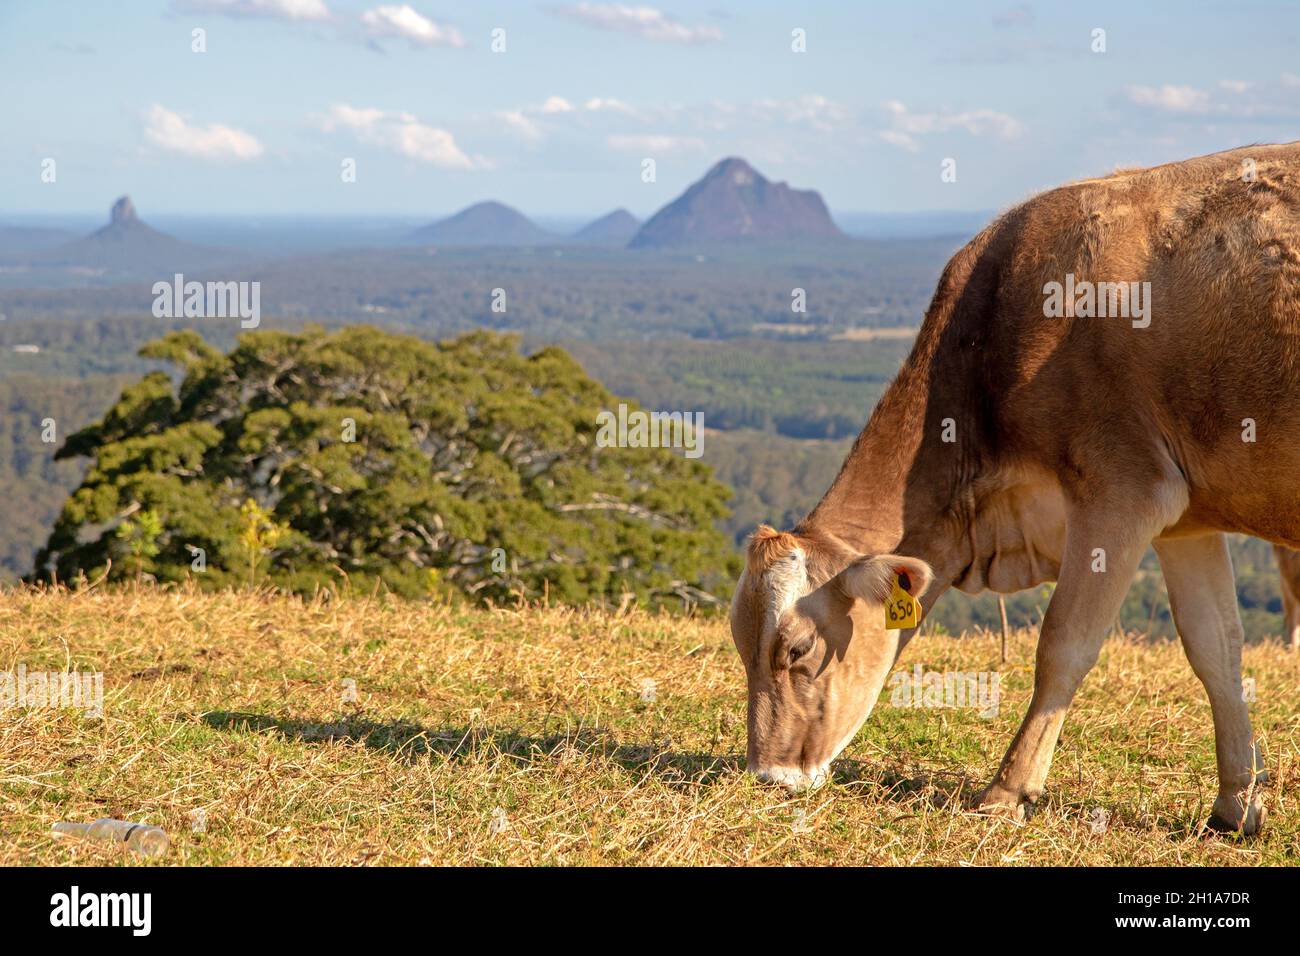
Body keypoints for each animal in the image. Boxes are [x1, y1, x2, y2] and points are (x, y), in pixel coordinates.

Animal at [733, 138, 1300, 832]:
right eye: (740, 645)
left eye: (797, 649)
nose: (768, 776)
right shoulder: (1185, 517)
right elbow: (1216, 648)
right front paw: (1236, 806)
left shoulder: (1123, 488)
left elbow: (1064, 642)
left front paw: (1008, 790)